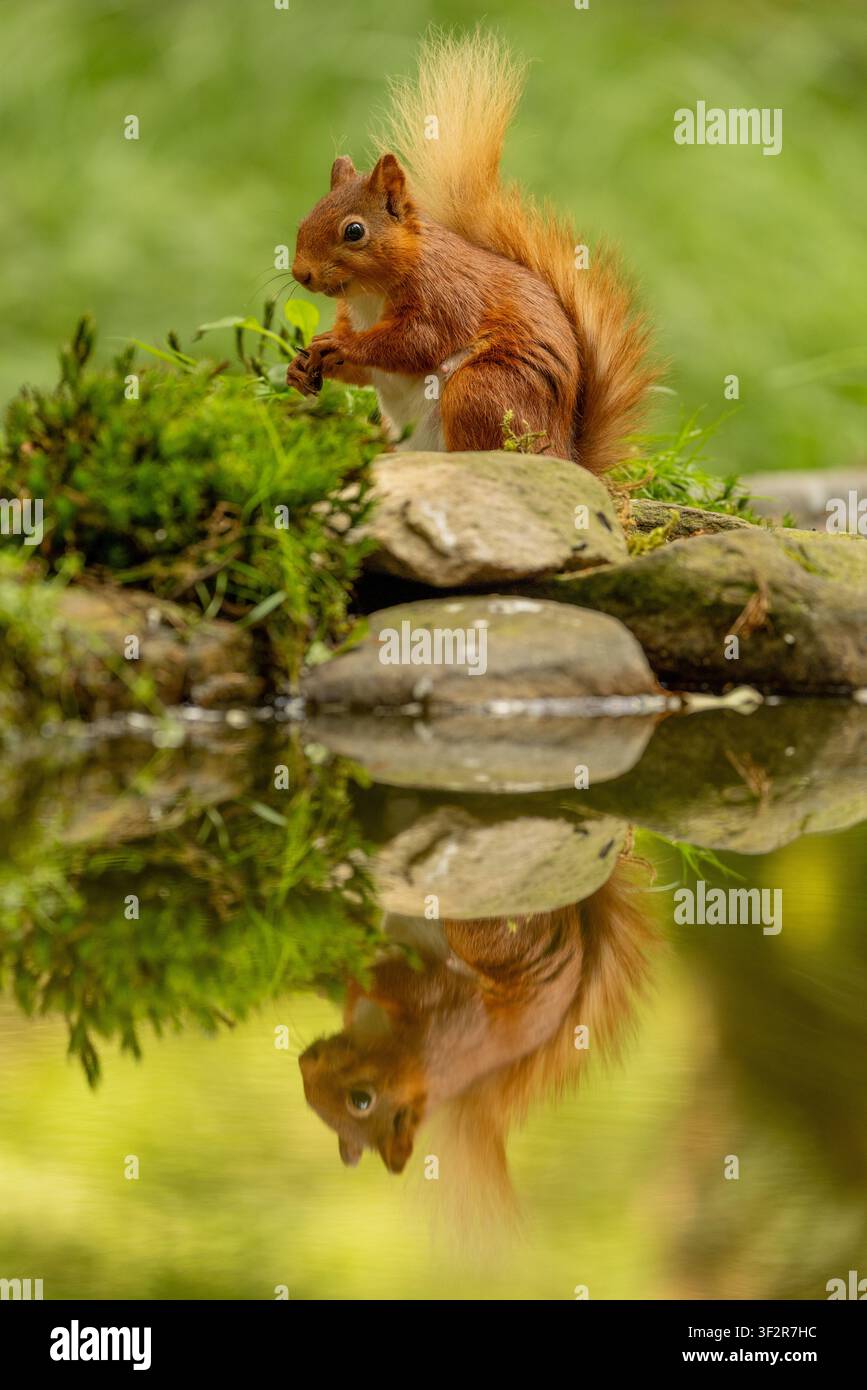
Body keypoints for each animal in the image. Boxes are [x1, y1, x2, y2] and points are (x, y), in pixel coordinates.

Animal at [286, 30, 652, 473]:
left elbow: (415, 342)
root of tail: (564, 454)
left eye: (354, 231)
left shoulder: (444, 297)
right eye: (304, 220)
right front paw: (299, 367)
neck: (367, 297)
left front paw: (339, 345)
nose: (301, 273)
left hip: (481, 388)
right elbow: (365, 372)